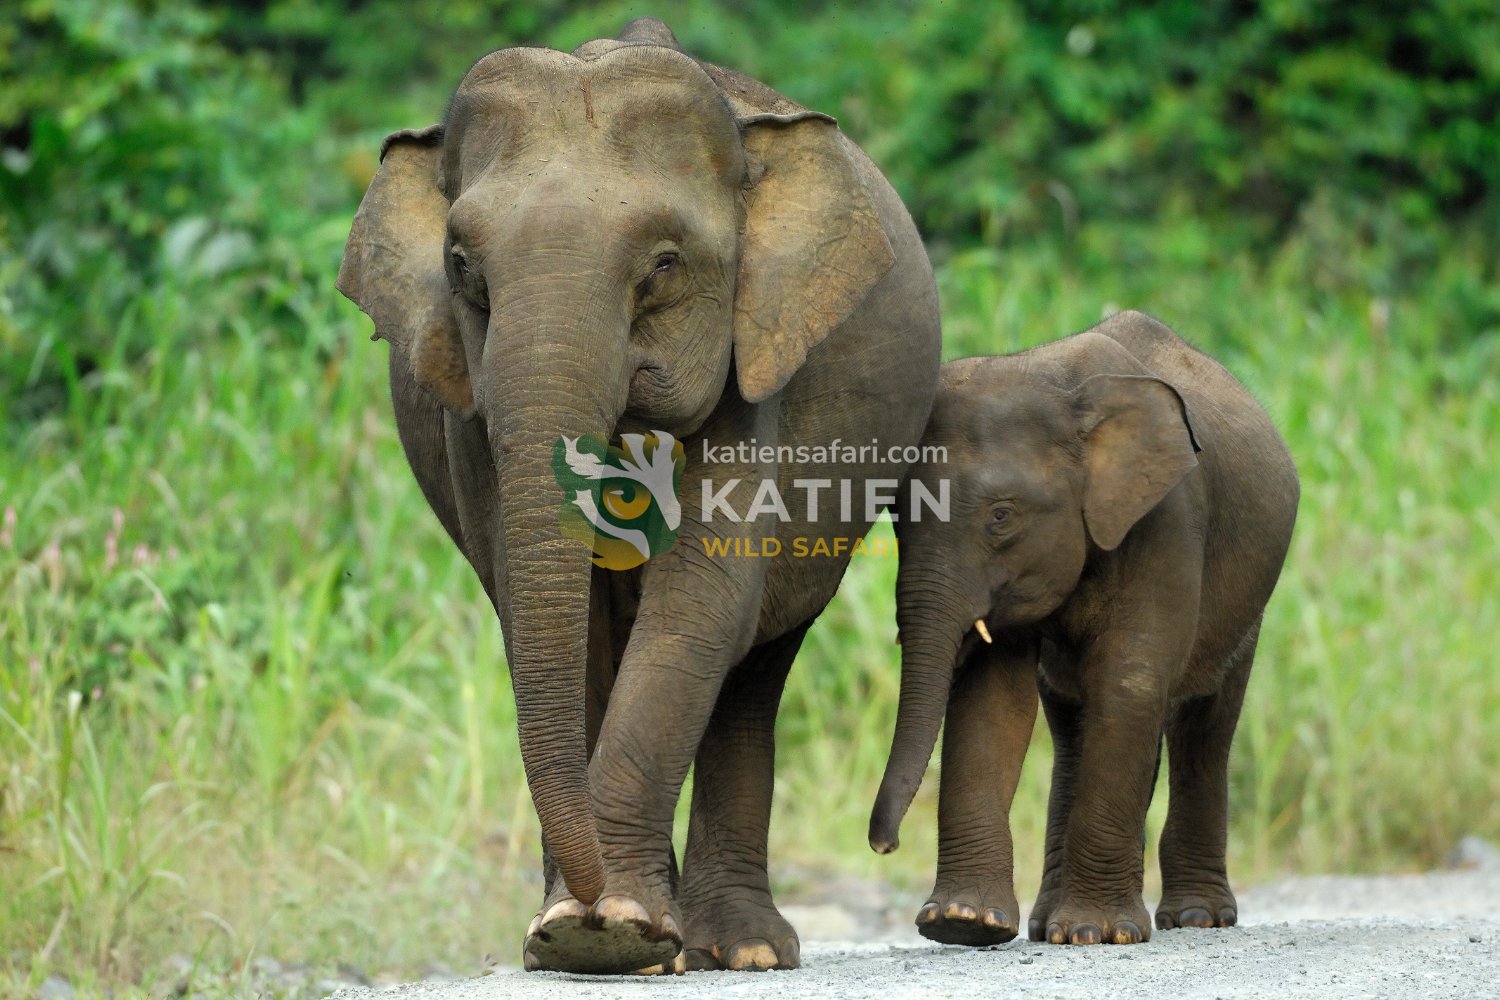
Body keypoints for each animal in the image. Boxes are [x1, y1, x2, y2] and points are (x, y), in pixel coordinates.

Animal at [336, 18, 940, 974]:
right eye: (463, 271)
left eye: (662, 266)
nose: (582, 904)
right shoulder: (464, 401)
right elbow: (554, 607)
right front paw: (580, 935)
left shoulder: (755, 366)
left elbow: (703, 596)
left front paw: (612, 929)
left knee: (754, 668)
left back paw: (739, 950)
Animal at [867, 311, 1298, 947]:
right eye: (897, 516)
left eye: (1001, 516)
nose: (884, 844)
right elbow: (991, 699)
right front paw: (963, 924)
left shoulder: (1166, 517)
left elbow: (1130, 683)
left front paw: (1098, 932)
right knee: (1073, 726)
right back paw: (1049, 924)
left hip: (1251, 601)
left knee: (1205, 725)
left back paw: (1194, 919)